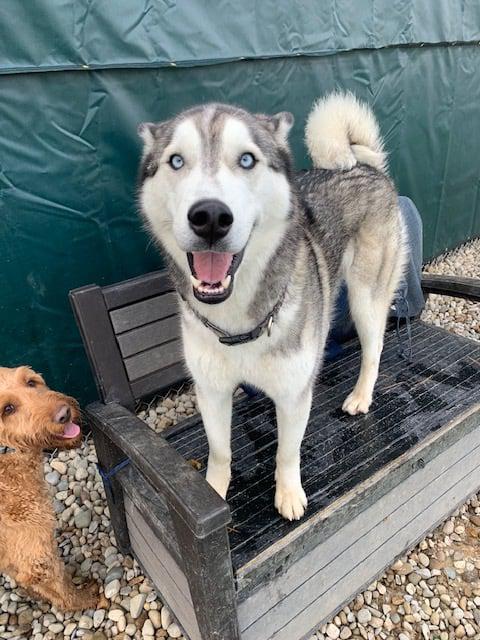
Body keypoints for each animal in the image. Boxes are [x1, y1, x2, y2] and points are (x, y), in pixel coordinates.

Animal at [0, 364, 99, 608]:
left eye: (31, 382)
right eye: (8, 409)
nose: (64, 414)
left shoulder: (16, 555)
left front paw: (34, 595)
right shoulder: (36, 556)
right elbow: (62, 589)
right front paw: (83, 601)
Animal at [138, 92, 404, 520]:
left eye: (247, 159)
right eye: (176, 161)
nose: (210, 216)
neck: (234, 323)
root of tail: (364, 165)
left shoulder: (293, 394)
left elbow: (287, 452)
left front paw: (289, 494)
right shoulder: (211, 391)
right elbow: (219, 451)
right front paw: (213, 490)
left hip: (366, 296)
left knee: (374, 348)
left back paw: (361, 396)